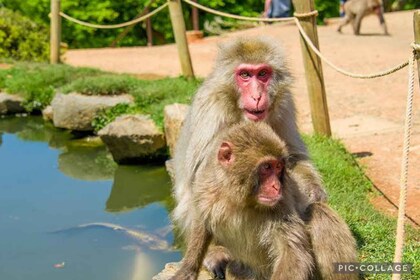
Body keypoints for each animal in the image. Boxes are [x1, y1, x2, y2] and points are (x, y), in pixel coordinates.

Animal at [172, 36, 326, 278]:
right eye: (245, 75)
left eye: (262, 74)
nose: (257, 95)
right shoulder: (211, 106)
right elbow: (199, 177)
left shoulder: (284, 103)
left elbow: (294, 156)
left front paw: (313, 190)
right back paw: (216, 251)